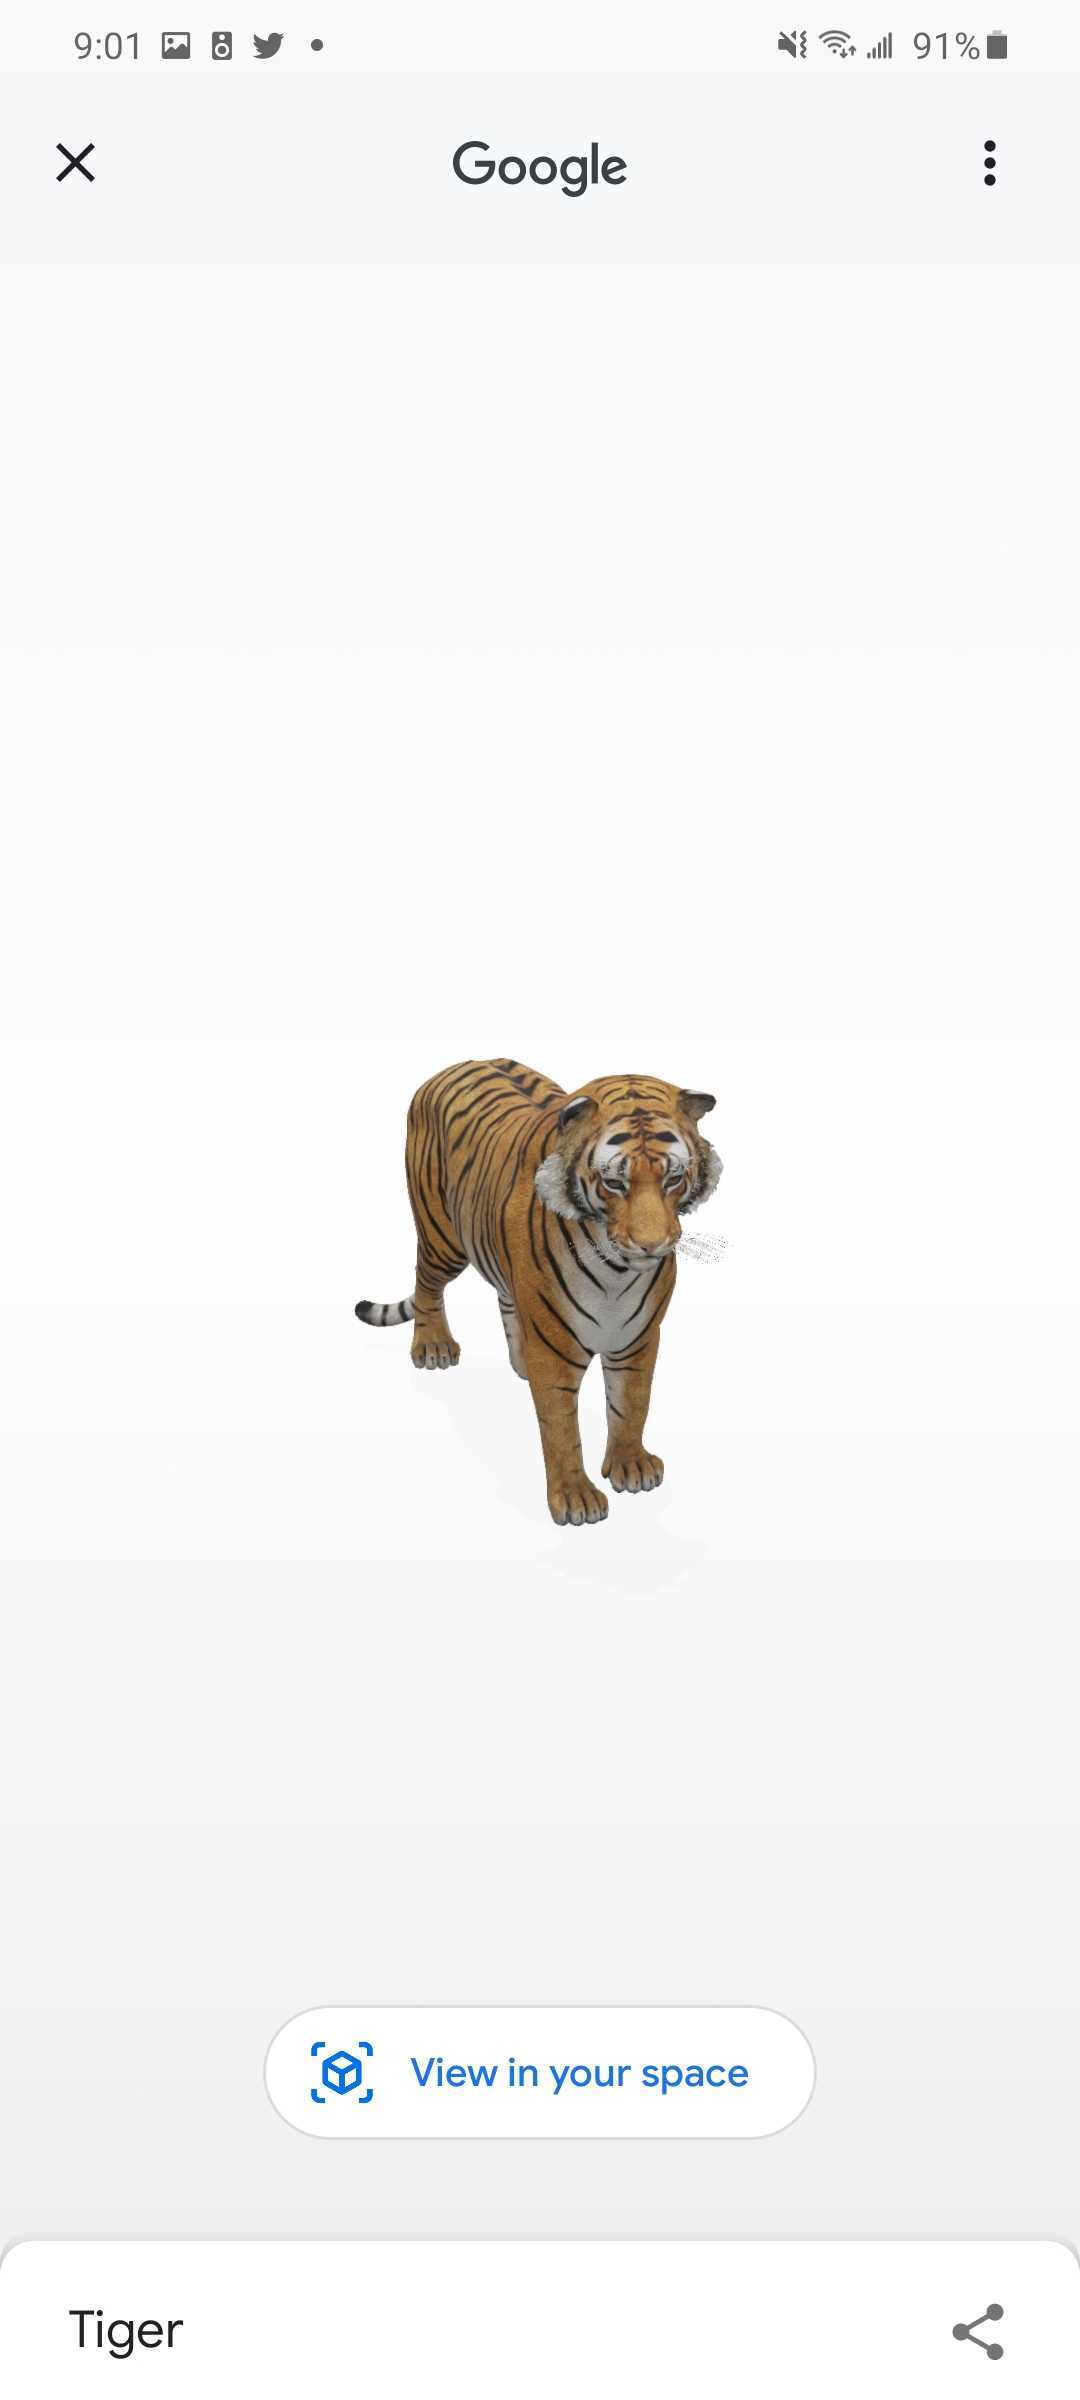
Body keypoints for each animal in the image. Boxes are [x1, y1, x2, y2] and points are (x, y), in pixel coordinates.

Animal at [355, 1059, 722, 1526]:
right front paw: (575, 1497)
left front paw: (630, 1464)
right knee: (425, 1283)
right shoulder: (554, 1344)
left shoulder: (638, 1336)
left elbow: (632, 1402)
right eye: (614, 1184)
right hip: (442, 1237)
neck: (617, 1273)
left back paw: (519, 1361)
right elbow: (561, 1425)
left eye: (674, 1177)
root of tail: (453, 1065)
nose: (651, 1245)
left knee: (505, 1297)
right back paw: (433, 1345)